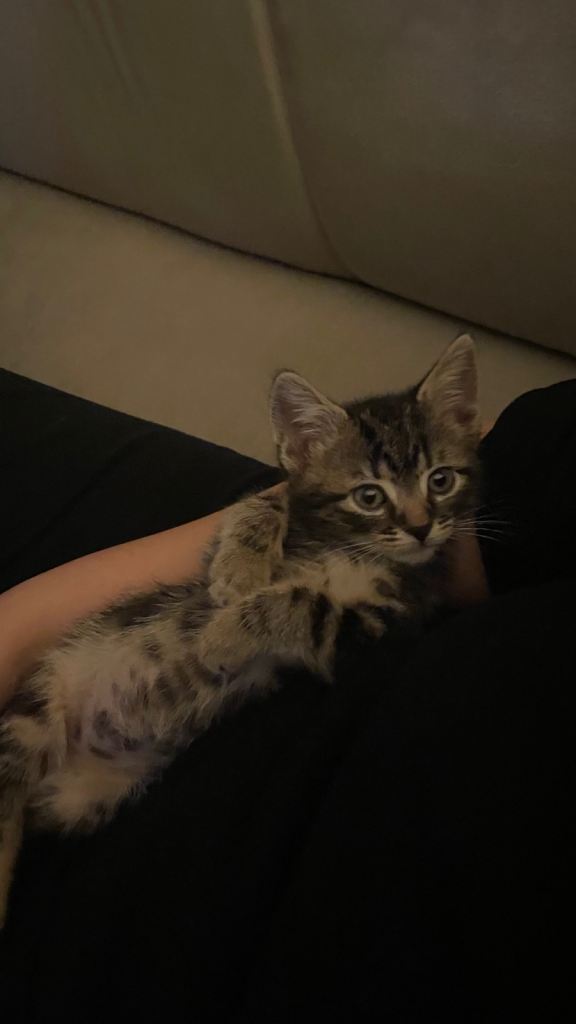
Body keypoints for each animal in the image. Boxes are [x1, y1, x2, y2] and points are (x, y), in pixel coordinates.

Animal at [0, 334, 480, 926]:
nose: (420, 528)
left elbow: (305, 600)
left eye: (441, 480)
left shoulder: (382, 628)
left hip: (83, 797)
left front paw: (223, 634)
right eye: (370, 496)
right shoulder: (226, 557)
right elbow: (263, 504)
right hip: (41, 703)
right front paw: (239, 573)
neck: (352, 551)